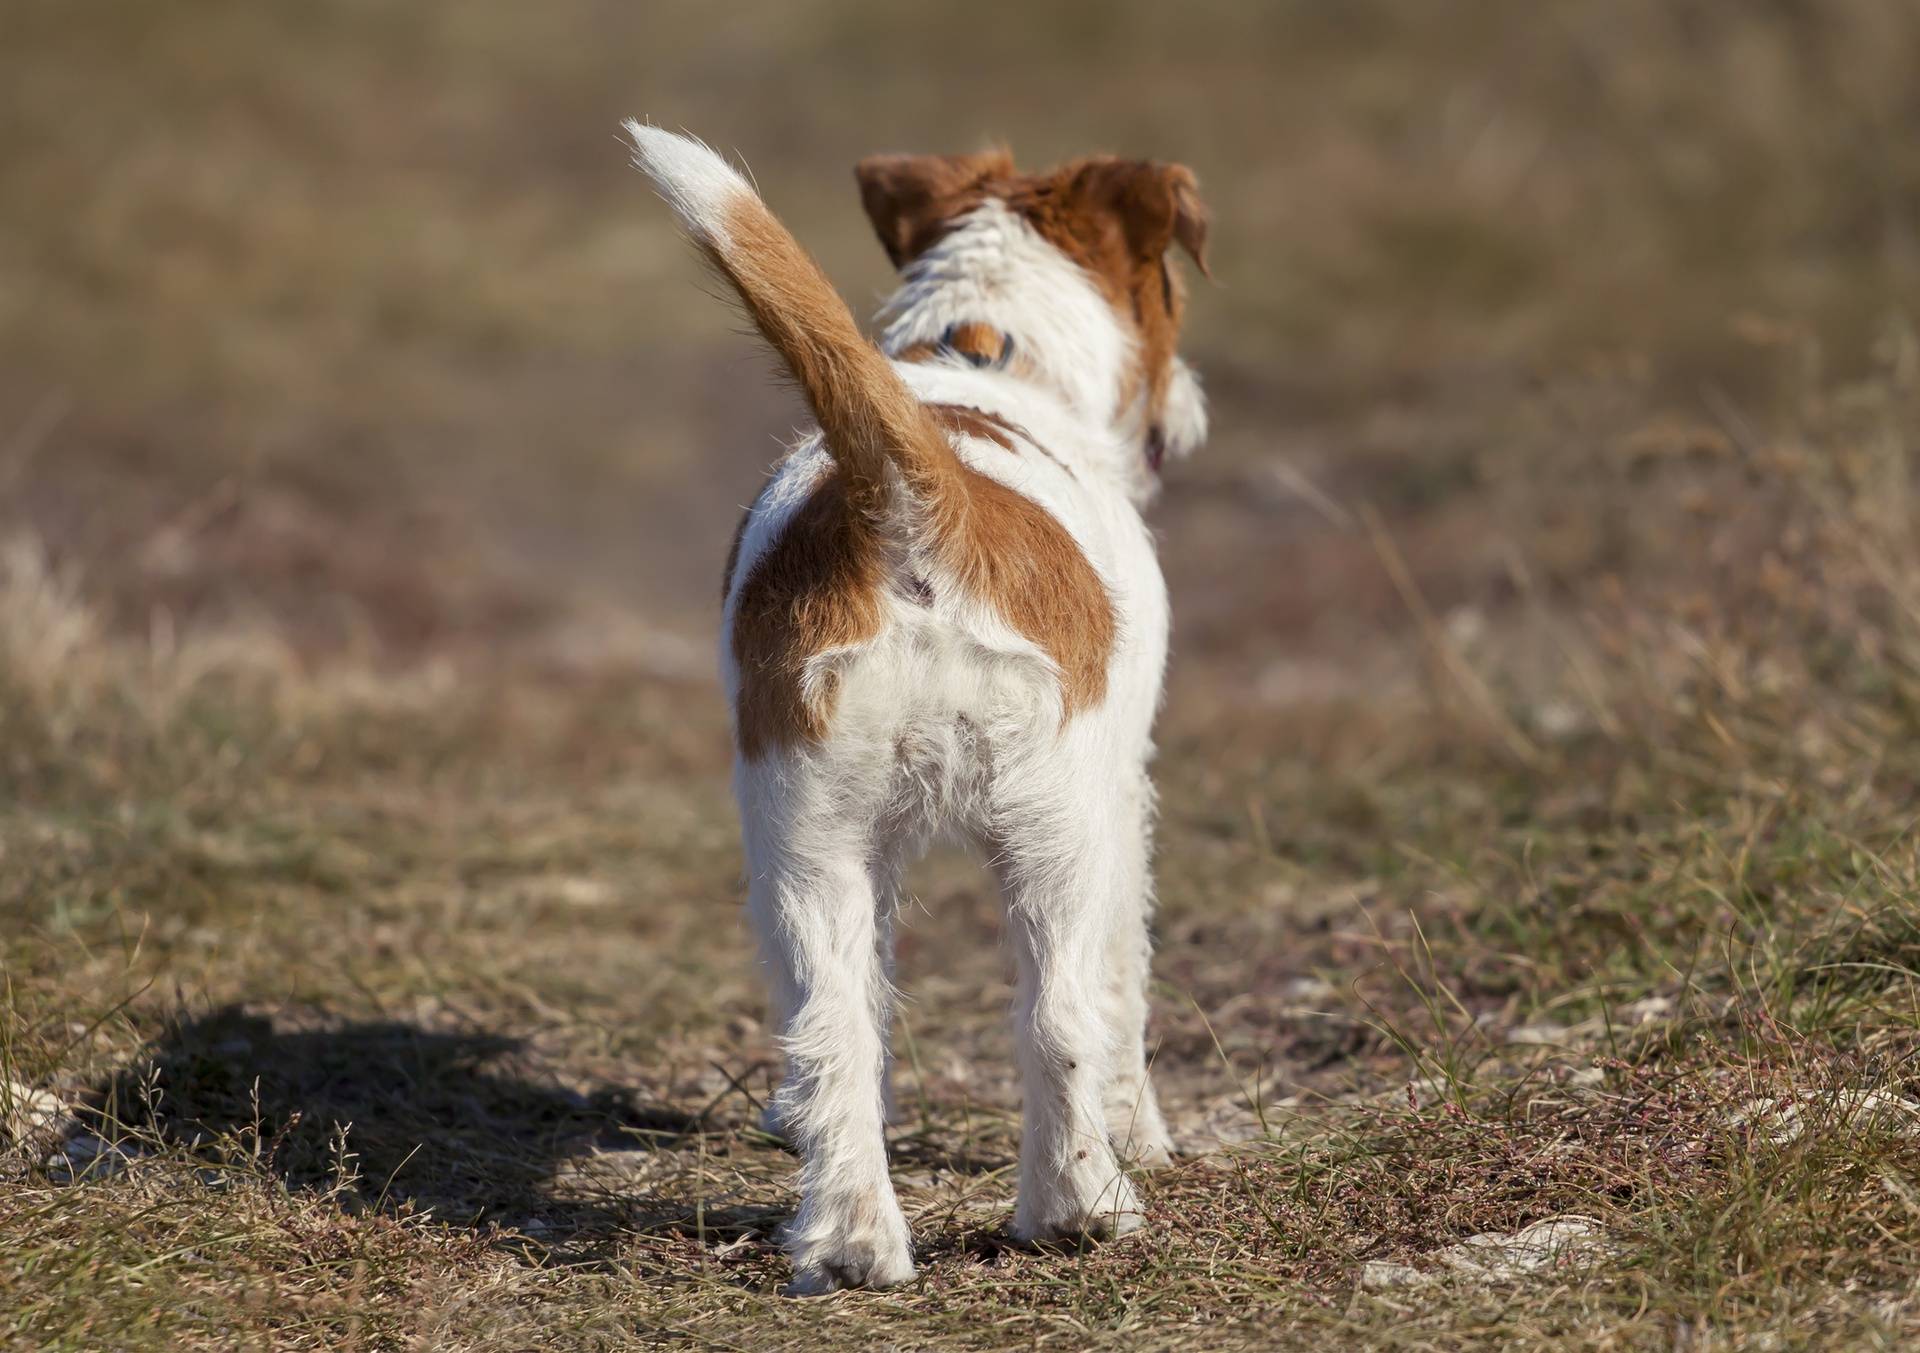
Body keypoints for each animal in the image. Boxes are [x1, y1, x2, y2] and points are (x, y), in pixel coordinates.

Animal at [622, 129, 1205, 1297]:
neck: (983, 349)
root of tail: (909, 499)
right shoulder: (1126, 792)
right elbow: (1126, 982)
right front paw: (1145, 1133)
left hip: (805, 839)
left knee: (833, 1029)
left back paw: (850, 1244)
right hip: (1058, 829)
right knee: (1060, 1015)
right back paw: (1084, 1211)